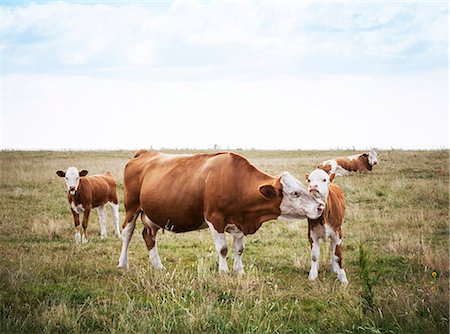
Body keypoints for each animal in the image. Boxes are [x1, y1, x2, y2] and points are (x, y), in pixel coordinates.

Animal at [118, 150, 326, 272]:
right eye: (294, 193)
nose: (320, 206)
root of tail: (145, 153)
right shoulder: (214, 218)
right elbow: (223, 248)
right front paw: (224, 271)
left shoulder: (239, 223)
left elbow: (239, 249)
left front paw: (239, 271)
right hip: (131, 207)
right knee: (127, 233)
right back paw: (122, 263)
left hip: (151, 215)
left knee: (149, 236)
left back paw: (158, 265)